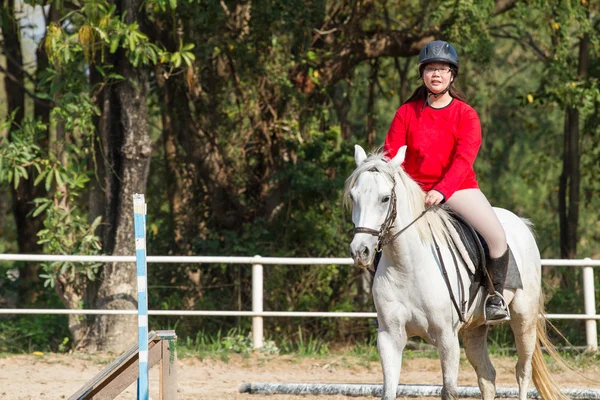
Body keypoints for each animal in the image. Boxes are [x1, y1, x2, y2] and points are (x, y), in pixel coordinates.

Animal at [346, 145, 568, 400]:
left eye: (384, 198)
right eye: (353, 196)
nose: (360, 251)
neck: (407, 266)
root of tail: (520, 222)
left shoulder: (447, 338)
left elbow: (450, 391)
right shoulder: (389, 338)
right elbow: (389, 392)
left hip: (524, 317)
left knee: (523, 371)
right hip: (475, 327)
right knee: (487, 376)